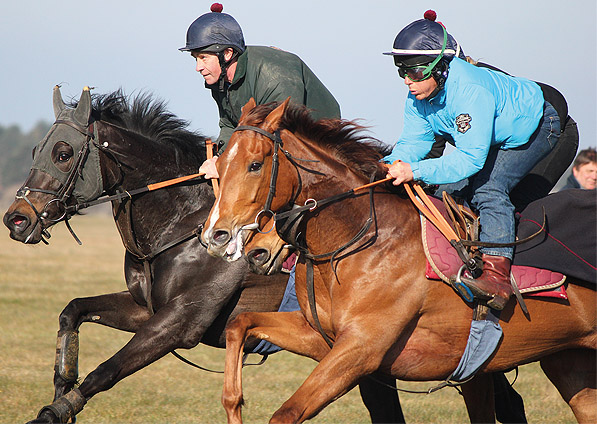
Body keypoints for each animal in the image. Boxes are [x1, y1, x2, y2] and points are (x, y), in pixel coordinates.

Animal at [1, 87, 406, 424]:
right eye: (37, 151)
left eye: (63, 154)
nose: (16, 219)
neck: (183, 222)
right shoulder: (145, 308)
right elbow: (72, 311)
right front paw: (62, 381)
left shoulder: (181, 321)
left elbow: (104, 371)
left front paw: (53, 412)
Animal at [201, 98, 596, 424]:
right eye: (219, 164)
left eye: (255, 165)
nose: (216, 235)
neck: (362, 242)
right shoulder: (322, 337)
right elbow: (239, 323)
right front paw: (234, 403)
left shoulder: (362, 348)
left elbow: (286, 413)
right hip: (570, 363)